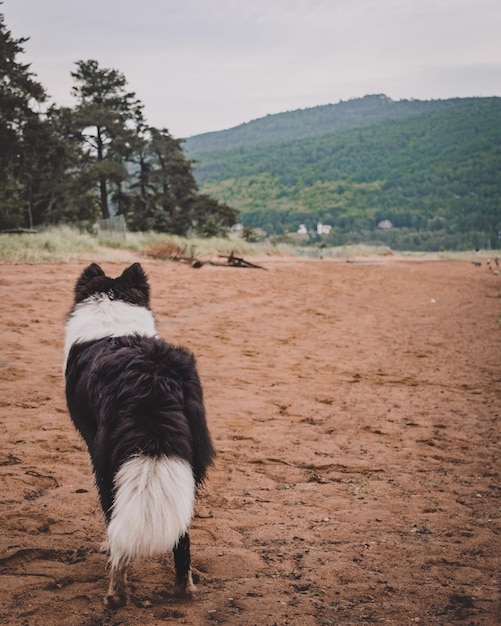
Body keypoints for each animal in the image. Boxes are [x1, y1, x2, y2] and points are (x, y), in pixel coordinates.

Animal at [63, 260, 214, 608]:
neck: (112, 308)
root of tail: (153, 375)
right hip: (192, 459)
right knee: (183, 532)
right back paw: (184, 589)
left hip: (107, 463)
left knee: (116, 519)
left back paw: (116, 592)